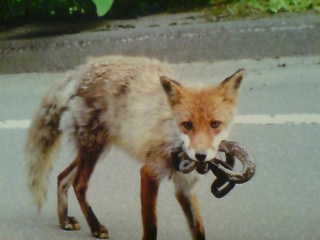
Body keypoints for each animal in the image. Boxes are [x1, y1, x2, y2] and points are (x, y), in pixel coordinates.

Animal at [24, 55, 242, 239]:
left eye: (215, 124)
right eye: (187, 125)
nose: (200, 156)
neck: (172, 133)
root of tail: (80, 70)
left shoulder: (185, 186)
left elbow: (198, 229)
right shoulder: (149, 172)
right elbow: (151, 226)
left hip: (95, 149)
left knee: (62, 177)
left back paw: (64, 220)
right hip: (94, 149)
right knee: (79, 184)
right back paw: (96, 227)